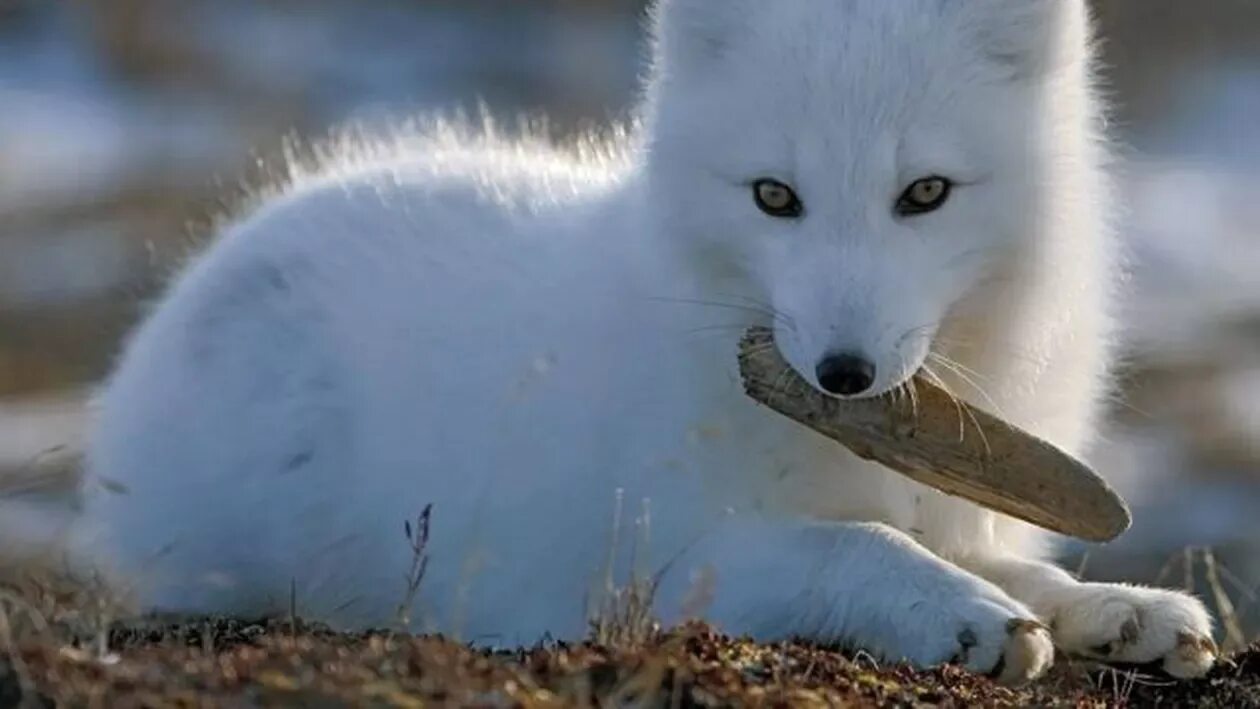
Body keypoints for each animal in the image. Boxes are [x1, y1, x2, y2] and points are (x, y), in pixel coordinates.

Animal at [68, 0, 1219, 685]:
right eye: (773, 196)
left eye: (926, 193)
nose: (843, 375)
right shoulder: (654, 556)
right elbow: (852, 545)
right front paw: (963, 615)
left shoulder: (954, 506)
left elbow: (1018, 563)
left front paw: (1119, 608)